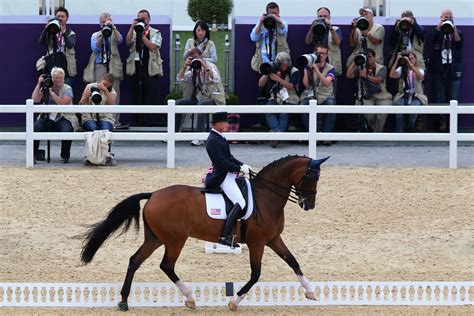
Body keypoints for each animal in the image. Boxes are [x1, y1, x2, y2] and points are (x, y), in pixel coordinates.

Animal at [80, 156, 330, 312]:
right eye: (312, 177)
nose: (309, 205)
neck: (266, 197)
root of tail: (153, 195)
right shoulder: (258, 243)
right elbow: (256, 274)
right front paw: (234, 302)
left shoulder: (273, 240)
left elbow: (293, 261)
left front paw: (310, 292)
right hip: (175, 240)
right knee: (166, 265)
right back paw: (190, 298)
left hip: (156, 238)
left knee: (135, 260)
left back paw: (123, 301)